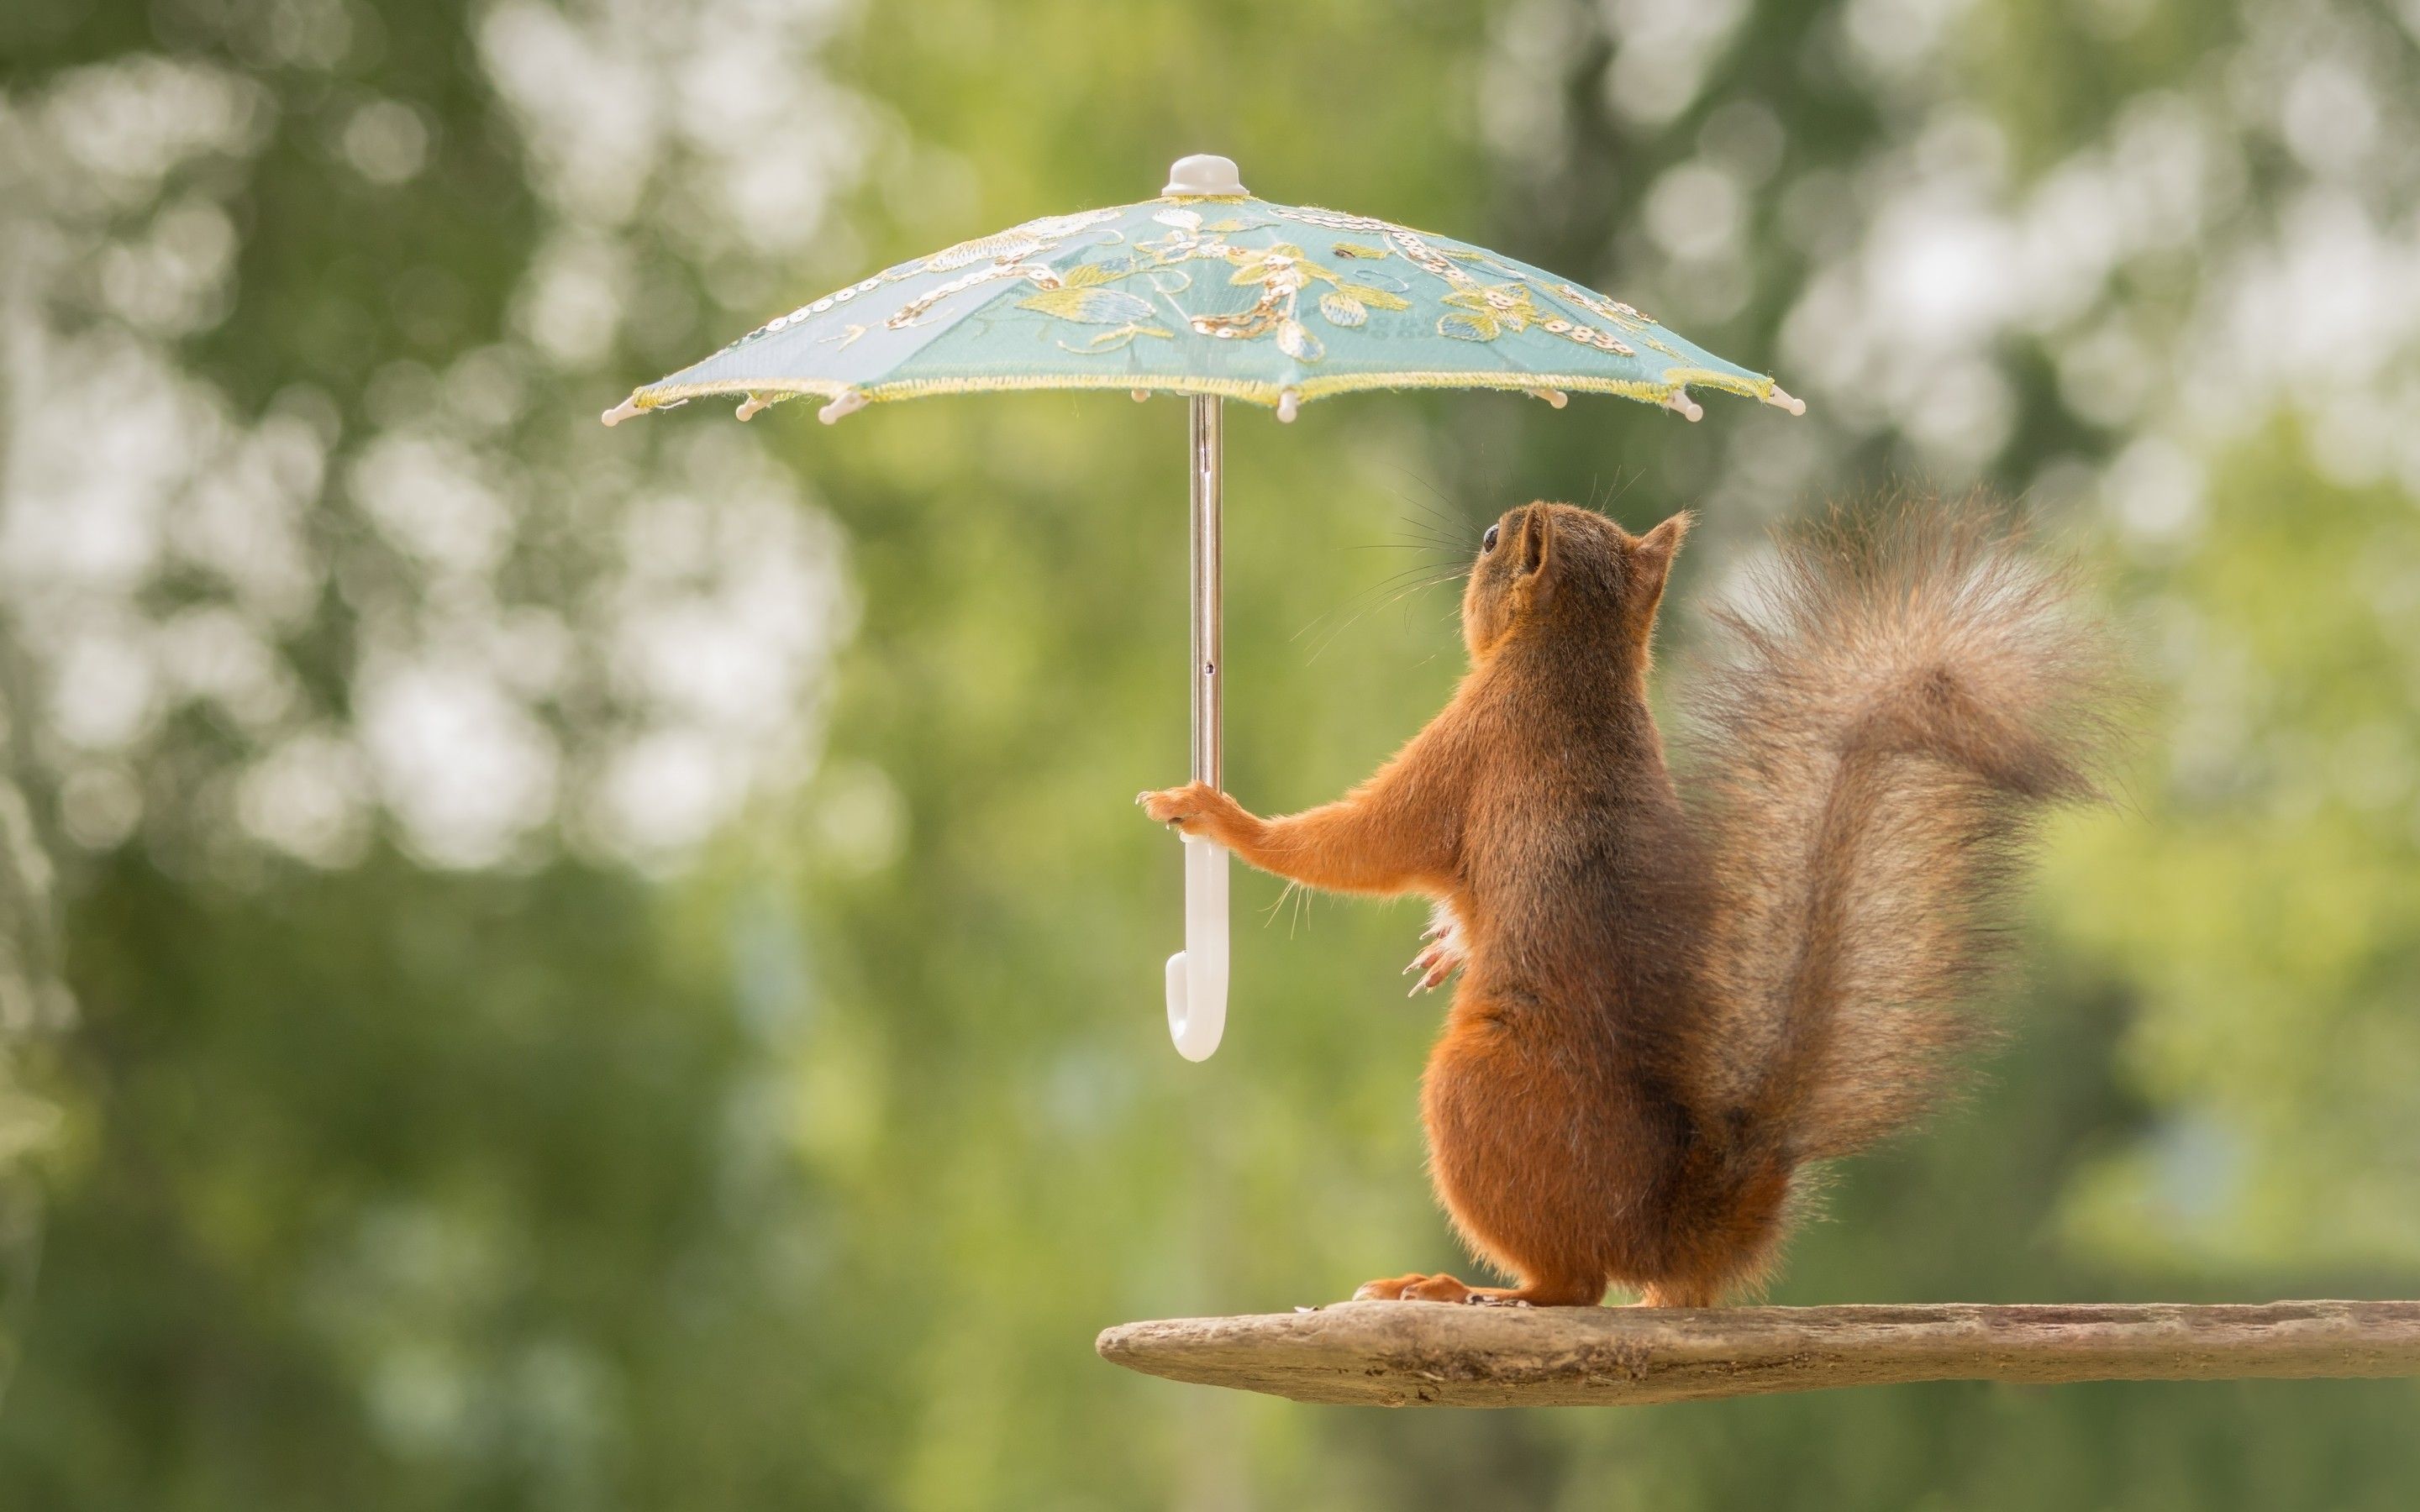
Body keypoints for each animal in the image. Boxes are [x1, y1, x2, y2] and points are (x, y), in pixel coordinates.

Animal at [1140, 500, 2116, 1307]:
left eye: (1492, 540)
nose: (1473, 542)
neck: (1577, 658)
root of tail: (1664, 1231)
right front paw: (1446, 948)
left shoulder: (1471, 743)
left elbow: (1358, 842)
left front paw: (1220, 816)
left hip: (1475, 1088)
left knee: (1573, 1286)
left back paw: (1461, 1289)